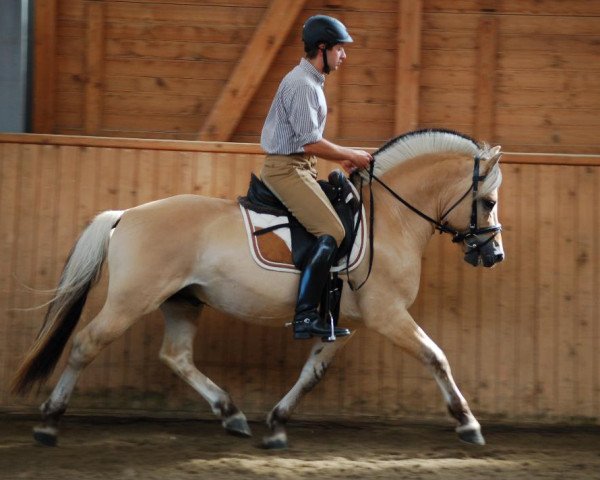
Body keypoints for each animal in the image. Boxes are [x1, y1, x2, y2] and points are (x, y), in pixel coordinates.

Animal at [11, 128, 504, 450]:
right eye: (488, 201)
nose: (494, 254)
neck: (391, 220)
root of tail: (126, 214)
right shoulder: (388, 315)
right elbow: (435, 356)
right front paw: (468, 423)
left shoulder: (347, 322)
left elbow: (311, 373)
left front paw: (277, 423)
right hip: (132, 300)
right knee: (85, 344)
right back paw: (49, 422)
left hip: (182, 301)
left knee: (176, 356)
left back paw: (231, 414)